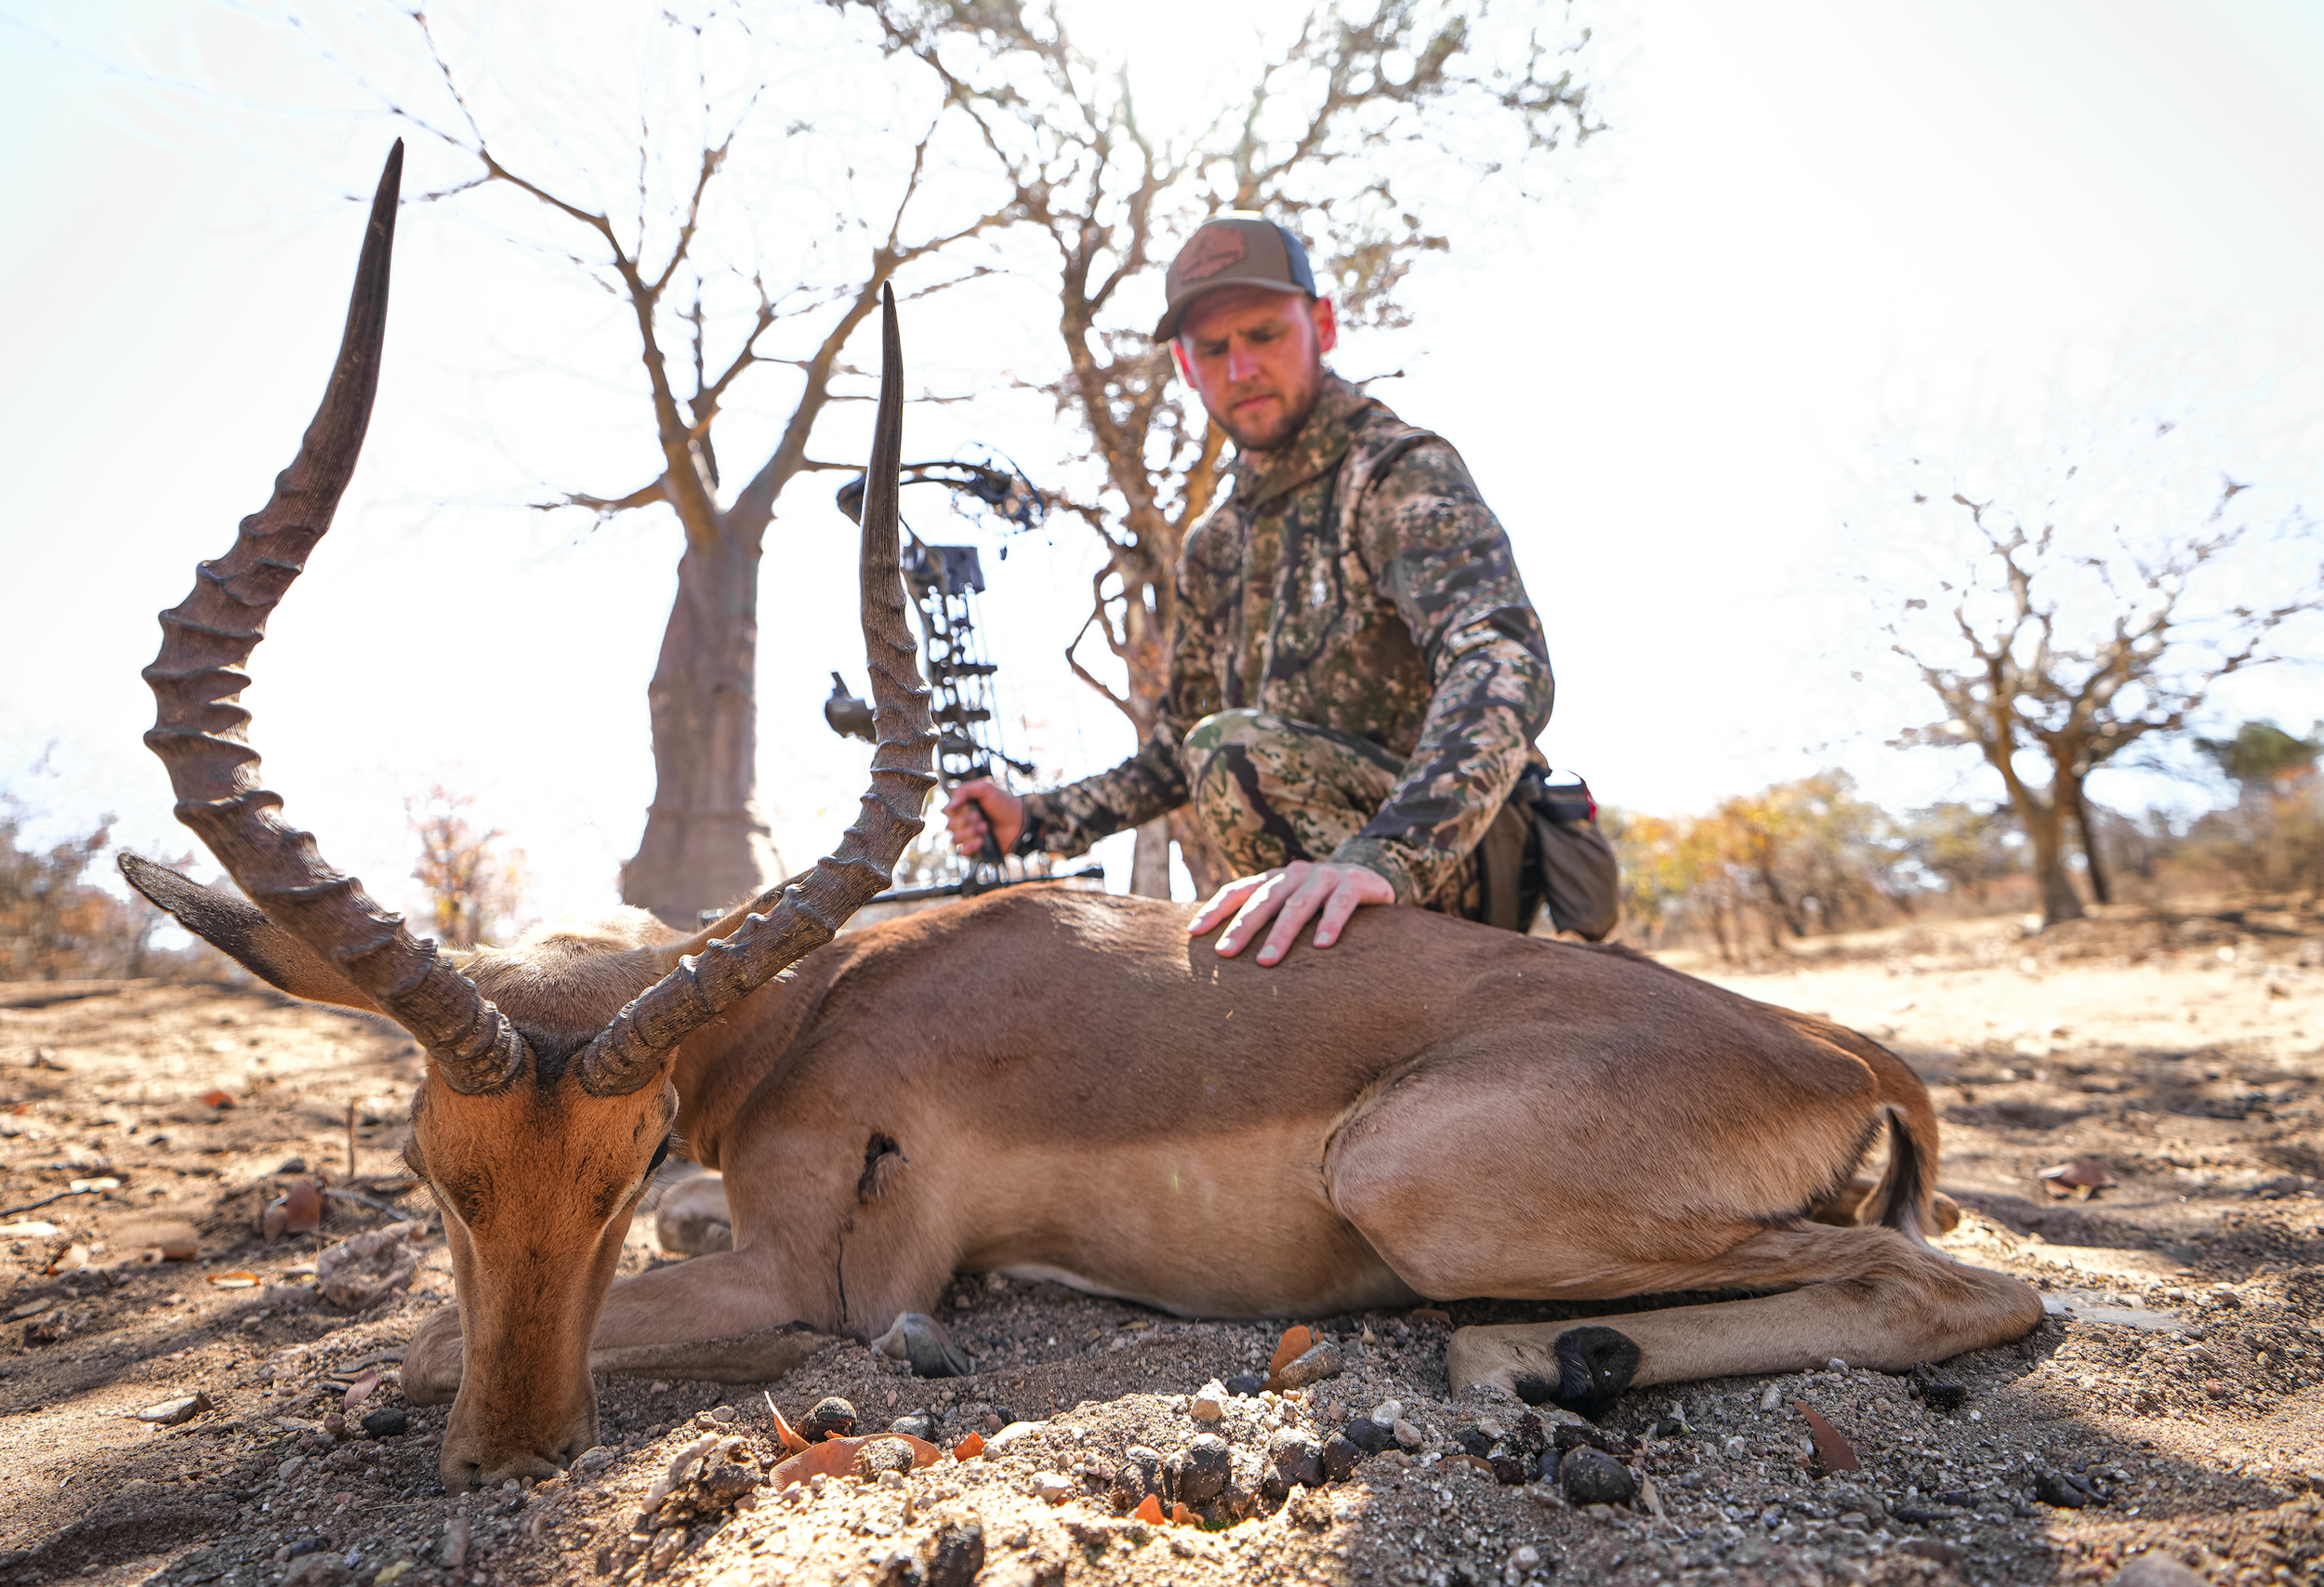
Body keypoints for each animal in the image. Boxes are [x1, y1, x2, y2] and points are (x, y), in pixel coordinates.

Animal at [128, 147, 2043, 1492]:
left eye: (618, 1161)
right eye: (430, 1166)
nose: (521, 1453)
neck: (818, 1002)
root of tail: (1840, 1047)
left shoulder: (816, 1282)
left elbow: (396, 1348)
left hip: (1413, 1171)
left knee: (1950, 1287)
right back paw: (1552, 1363)